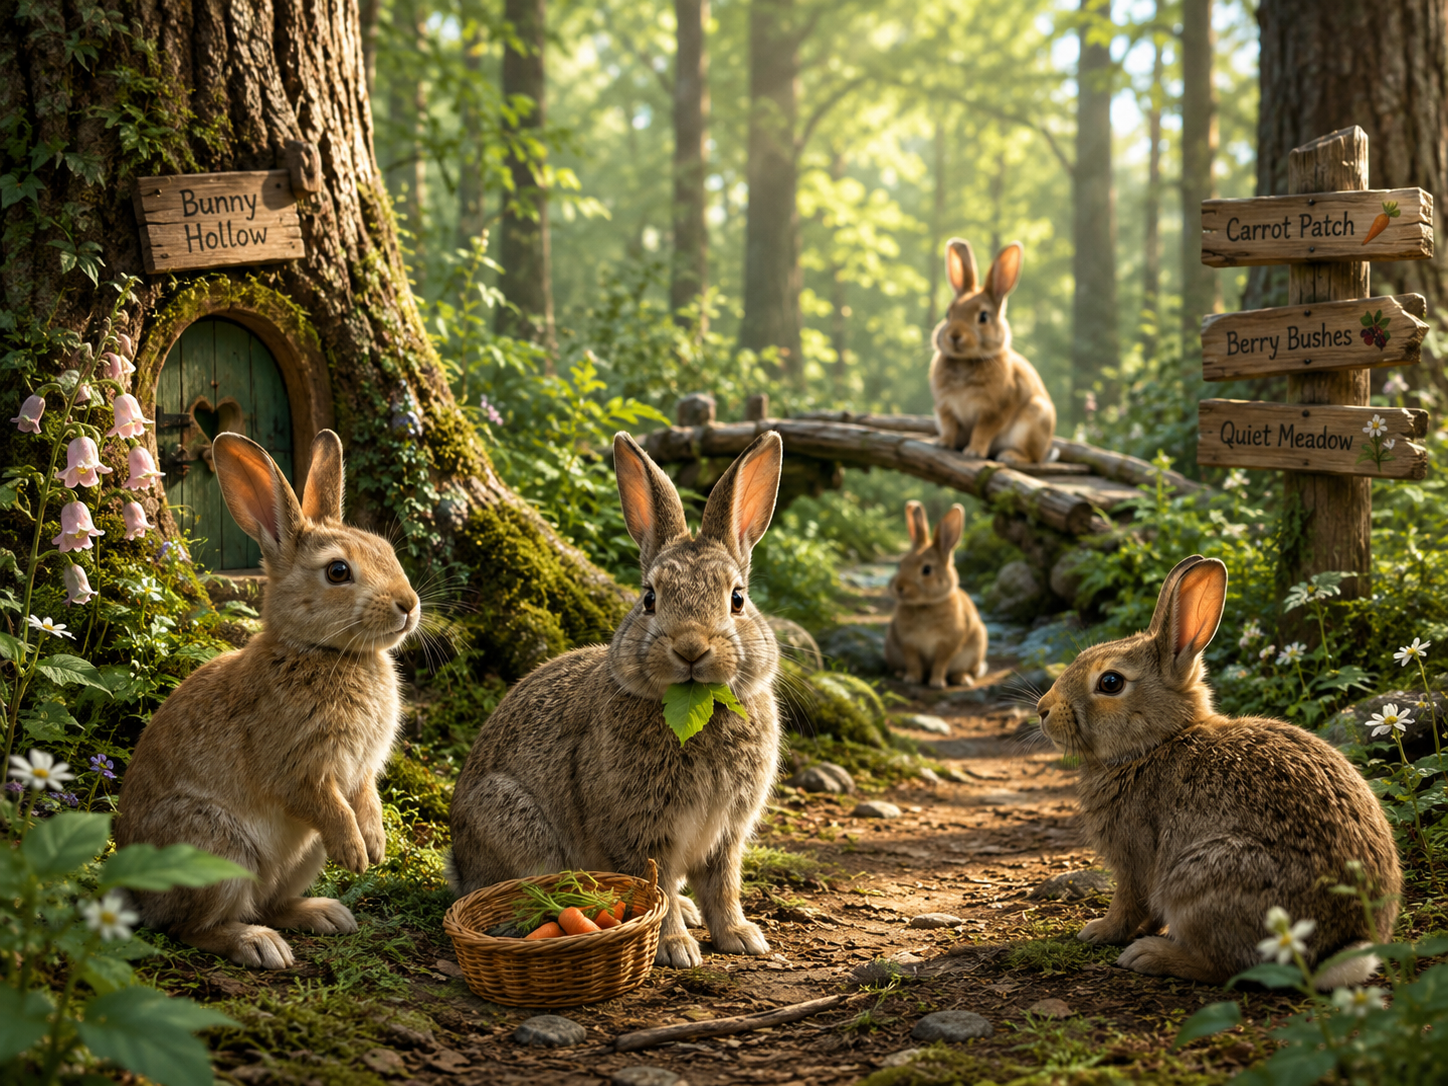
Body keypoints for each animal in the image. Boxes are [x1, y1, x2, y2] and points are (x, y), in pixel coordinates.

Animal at [115, 430, 421, 970]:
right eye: (338, 571)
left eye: (387, 551)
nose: (409, 604)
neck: (323, 652)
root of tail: (138, 896)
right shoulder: (299, 768)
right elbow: (325, 803)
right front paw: (358, 855)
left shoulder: (360, 772)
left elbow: (364, 799)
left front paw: (376, 846)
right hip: (219, 852)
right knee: (189, 927)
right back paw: (258, 945)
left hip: (301, 856)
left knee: (271, 902)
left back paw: (325, 915)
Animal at [448, 431, 784, 969]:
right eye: (649, 598)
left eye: (737, 599)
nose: (691, 648)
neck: (698, 711)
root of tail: (458, 864)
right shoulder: (638, 831)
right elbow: (653, 884)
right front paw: (675, 948)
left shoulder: (727, 835)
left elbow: (723, 885)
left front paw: (741, 936)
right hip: (512, 821)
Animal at [884, 501, 988, 688]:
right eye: (900, 564)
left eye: (926, 570)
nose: (899, 587)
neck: (925, 605)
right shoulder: (908, 642)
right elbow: (913, 662)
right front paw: (912, 679)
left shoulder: (949, 643)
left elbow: (941, 663)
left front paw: (937, 683)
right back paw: (900, 673)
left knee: (965, 671)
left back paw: (963, 679)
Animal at [930, 238, 1057, 464]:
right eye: (948, 314)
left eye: (983, 317)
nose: (954, 336)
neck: (966, 361)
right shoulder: (945, 409)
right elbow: (950, 427)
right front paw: (943, 443)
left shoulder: (995, 411)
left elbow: (983, 431)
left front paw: (974, 452)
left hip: (1033, 419)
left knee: (1031, 457)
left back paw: (1010, 456)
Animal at [1035, 555, 1400, 989]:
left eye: (1110, 682)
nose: (1042, 710)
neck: (1156, 744)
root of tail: (1339, 947)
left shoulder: (1134, 856)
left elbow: (1129, 902)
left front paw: (1099, 931)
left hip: (1200, 882)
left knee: (1229, 967)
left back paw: (1151, 956)